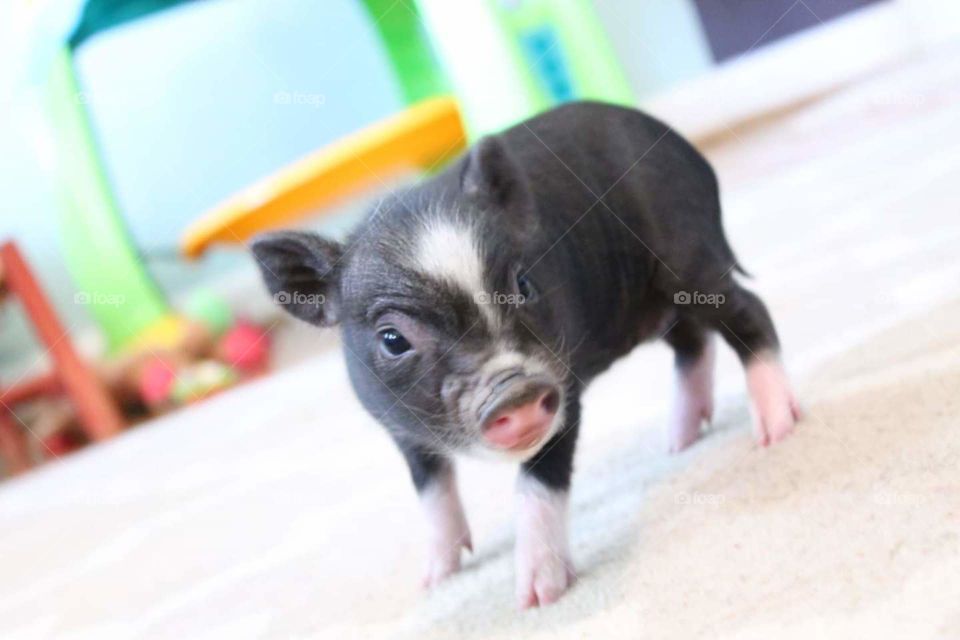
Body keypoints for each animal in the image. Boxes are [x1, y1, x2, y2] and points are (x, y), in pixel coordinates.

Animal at [251, 101, 800, 608]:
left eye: (523, 284)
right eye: (392, 339)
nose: (515, 389)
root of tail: (684, 146)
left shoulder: (564, 389)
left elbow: (537, 483)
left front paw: (538, 597)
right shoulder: (398, 428)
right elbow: (430, 488)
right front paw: (435, 580)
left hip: (691, 262)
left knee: (749, 314)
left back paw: (776, 430)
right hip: (652, 303)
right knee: (693, 342)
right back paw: (678, 442)